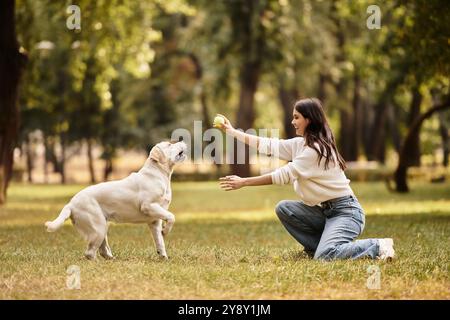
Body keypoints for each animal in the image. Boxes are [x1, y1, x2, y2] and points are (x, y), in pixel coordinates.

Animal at [44, 141, 187, 260]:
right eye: (169, 144)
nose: (183, 140)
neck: (158, 175)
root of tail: (70, 203)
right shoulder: (148, 206)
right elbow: (171, 217)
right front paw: (166, 231)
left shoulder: (154, 221)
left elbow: (160, 242)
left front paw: (163, 257)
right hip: (98, 228)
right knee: (90, 253)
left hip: (102, 228)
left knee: (102, 250)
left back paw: (112, 259)